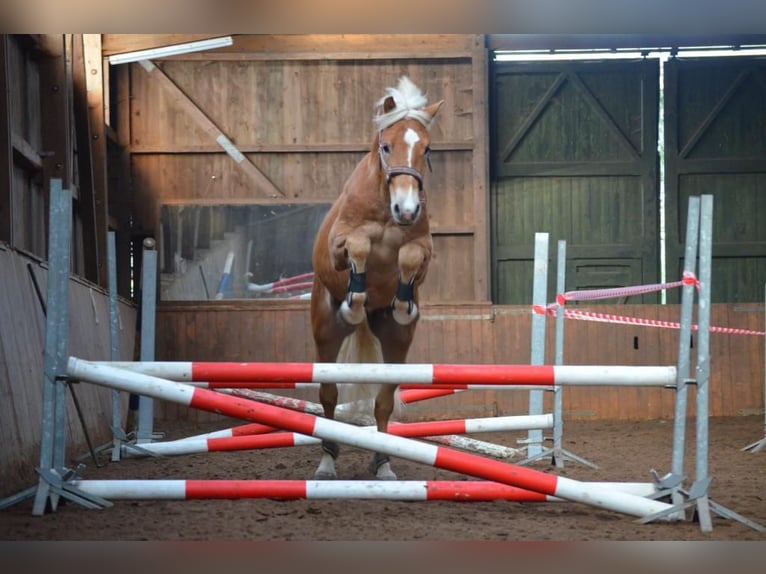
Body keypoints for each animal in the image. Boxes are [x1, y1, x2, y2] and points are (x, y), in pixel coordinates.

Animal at [310, 76, 444, 482]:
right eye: (387, 146)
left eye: (426, 148)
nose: (408, 209)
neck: (387, 208)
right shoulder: (339, 247)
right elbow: (359, 246)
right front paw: (354, 302)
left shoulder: (422, 251)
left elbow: (409, 258)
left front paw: (403, 303)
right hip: (325, 332)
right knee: (328, 398)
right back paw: (326, 462)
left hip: (396, 343)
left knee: (382, 403)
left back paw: (383, 463)